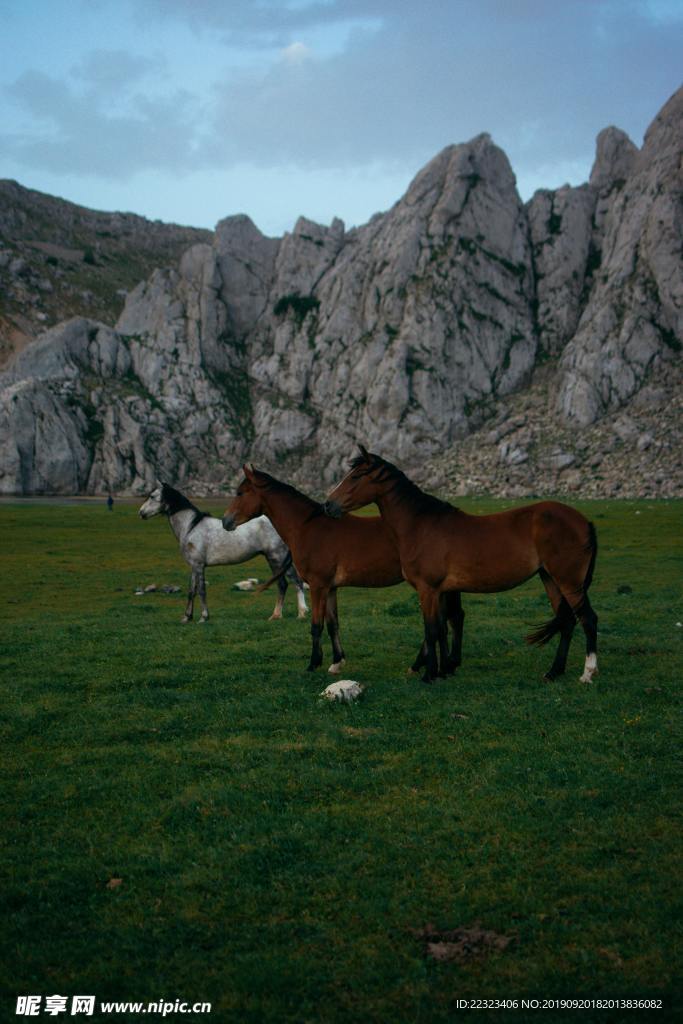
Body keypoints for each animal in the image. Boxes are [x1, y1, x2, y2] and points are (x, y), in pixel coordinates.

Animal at [139, 481, 309, 622]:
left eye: (152, 496)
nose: (141, 513)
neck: (191, 527)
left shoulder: (199, 565)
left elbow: (201, 590)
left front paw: (204, 617)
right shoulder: (193, 565)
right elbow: (191, 591)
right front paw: (187, 617)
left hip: (277, 558)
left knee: (294, 582)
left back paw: (301, 613)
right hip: (274, 559)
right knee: (283, 584)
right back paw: (276, 615)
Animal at [223, 468, 405, 675]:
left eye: (240, 493)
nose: (225, 521)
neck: (308, 527)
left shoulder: (318, 586)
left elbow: (316, 625)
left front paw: (313, 663)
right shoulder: (330, 588)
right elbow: (333, 624)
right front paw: (337, 662)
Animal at [325, 444, 598, 684]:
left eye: (356, 476)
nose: (328, 504)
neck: (421, 525)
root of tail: (584, 521)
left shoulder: (428, 589)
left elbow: (431, 630)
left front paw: (429, 674)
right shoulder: (442, 591)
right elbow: (442, 628)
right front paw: (443, 670)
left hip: (569, 582)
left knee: (588, 619)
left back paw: (587, 674)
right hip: (550, 579)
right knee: (567, 622)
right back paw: (554, 672)